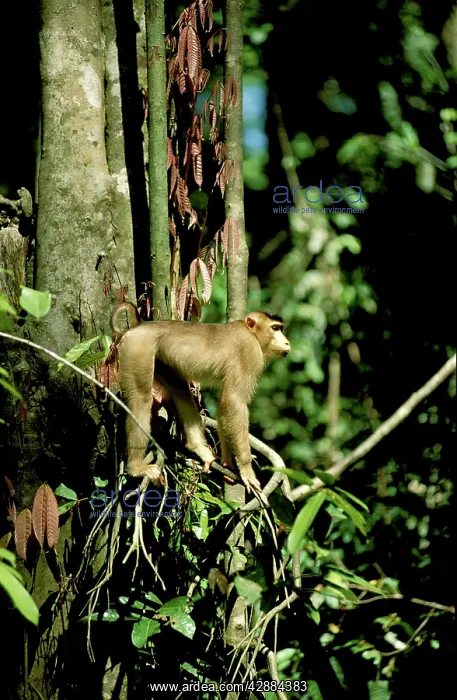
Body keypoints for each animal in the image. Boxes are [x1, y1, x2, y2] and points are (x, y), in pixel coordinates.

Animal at [111, 302, 290, 493]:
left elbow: (224, 406)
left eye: (281, 328)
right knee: (141, 400)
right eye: (275, 328)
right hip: (138, 350)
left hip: (160, 359)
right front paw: (246, 470)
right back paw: (135, 467)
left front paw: (228, 464)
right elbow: (234, 401)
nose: (287, 342)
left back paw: (198, 448)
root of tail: (139, 326)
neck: (250, 332)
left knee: (180, 389)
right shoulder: (249, 351)